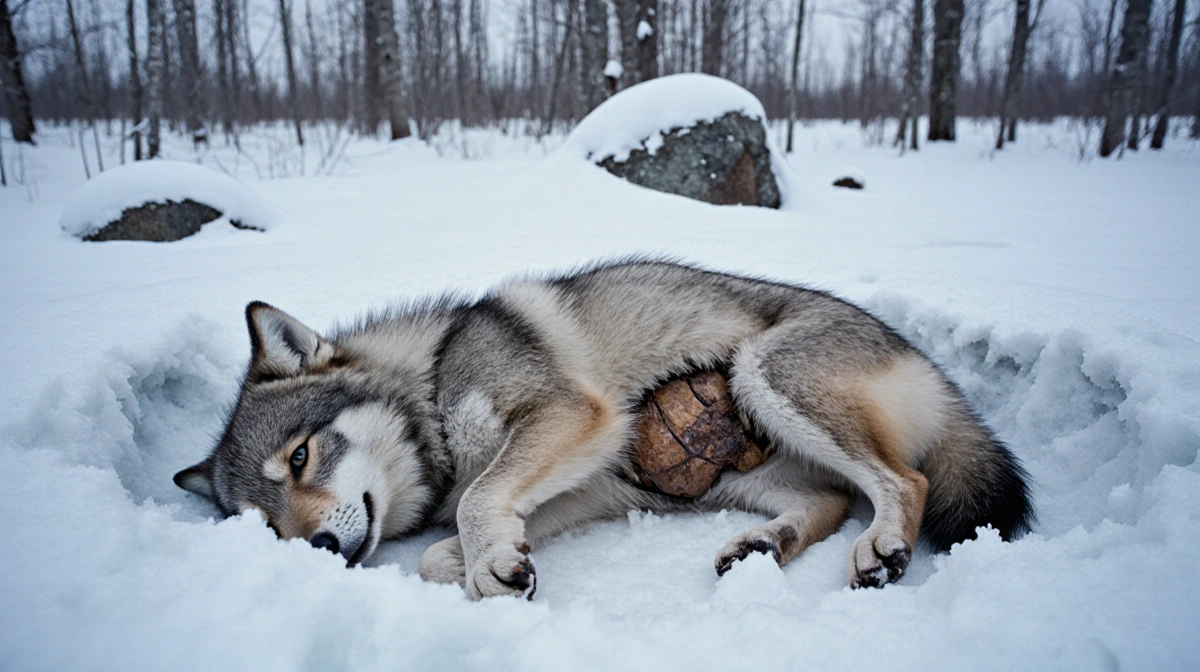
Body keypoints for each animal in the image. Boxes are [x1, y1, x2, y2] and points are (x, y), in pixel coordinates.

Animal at [174, 259, 1033, 599]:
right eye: (267, 527)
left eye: (301, 456)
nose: (320, 547)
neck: (432, 383)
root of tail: (930, 367)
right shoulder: (592, 481)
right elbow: (450, 545)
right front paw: (490, 564)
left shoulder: (572, 418)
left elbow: (474, 506)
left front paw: (487, 564)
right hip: (719, 472)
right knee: (828, 500)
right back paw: (762, 547)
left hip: (764, 377)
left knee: (903, 480)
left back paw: (883, 547)